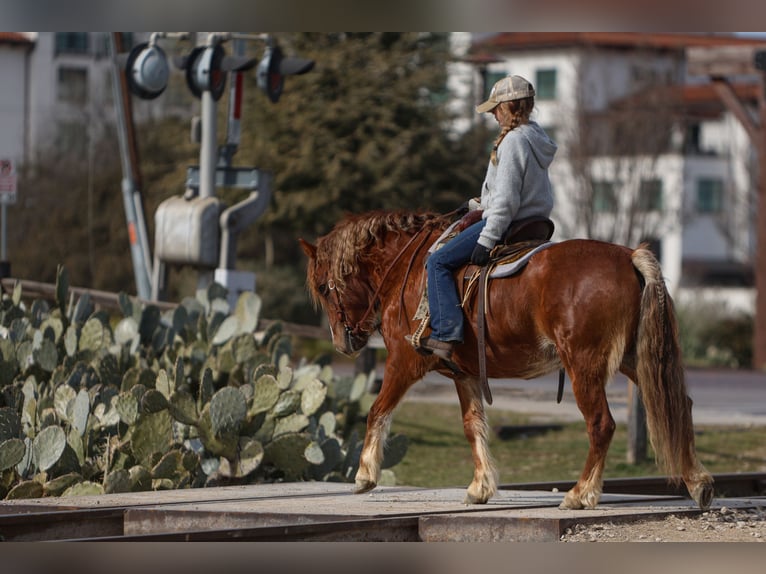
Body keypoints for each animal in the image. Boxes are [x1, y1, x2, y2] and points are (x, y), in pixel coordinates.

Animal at [298, 209, 712, 510]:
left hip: (584, 365)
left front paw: (365, 474)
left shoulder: (404, 361)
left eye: (323, 287)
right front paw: (481, 487)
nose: (342, 342)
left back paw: (580, 493)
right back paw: (698, 482)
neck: (409, 270)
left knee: (601, 424)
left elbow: (377, 410)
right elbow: (473, 426)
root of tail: (629, 256)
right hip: (637, 360)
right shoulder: (463, 374)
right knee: (679, 407)